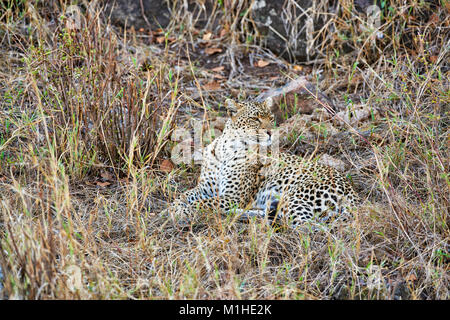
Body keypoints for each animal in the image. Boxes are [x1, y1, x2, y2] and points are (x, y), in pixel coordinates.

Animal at [162, 97, 358, 228]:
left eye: (271, 118)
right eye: (255, 119)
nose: (271, 132)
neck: (226, 149)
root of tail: (353, 193)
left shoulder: (233, 197)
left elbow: (202, 203)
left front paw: (182, 211)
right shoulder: (205, 188)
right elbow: (184, 196)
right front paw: (174, 207)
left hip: (295, 197)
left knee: (306, 227)